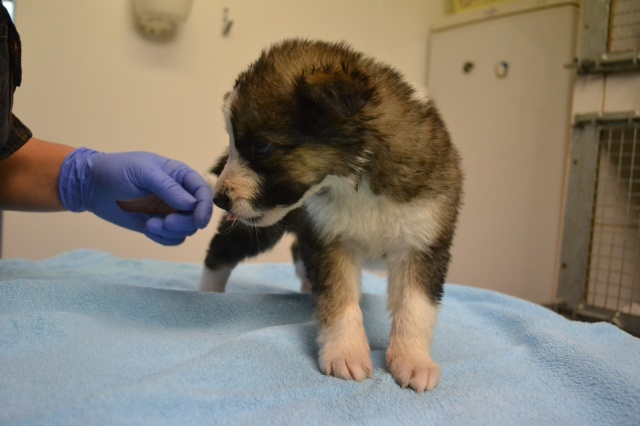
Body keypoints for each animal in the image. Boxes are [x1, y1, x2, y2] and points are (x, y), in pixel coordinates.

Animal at [200, 39, 462, 392]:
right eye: (236, 144)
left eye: (262, 147)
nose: (219, 199)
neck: (358, 184)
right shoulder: (331, 241)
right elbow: (339, 300)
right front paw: (346, 353)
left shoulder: (422, 242)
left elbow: (415, 306)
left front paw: (413, 360)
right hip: (257, 229)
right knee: (219, 253)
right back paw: (207, 294)